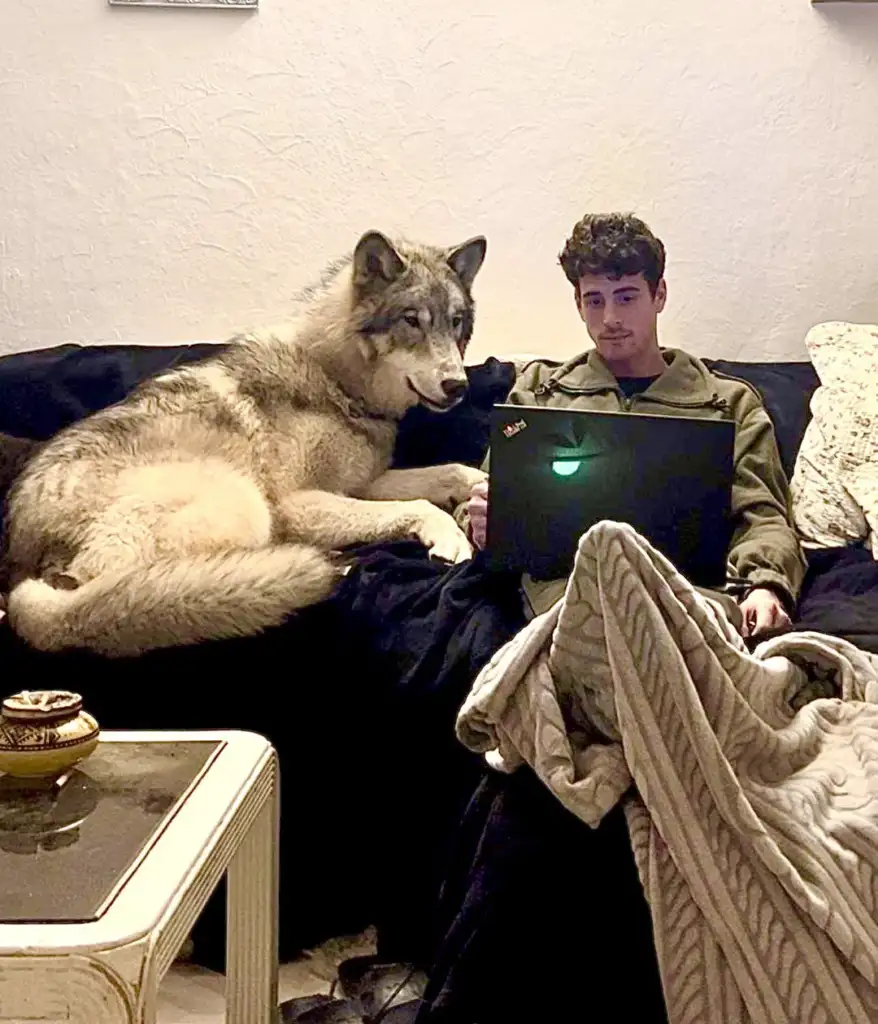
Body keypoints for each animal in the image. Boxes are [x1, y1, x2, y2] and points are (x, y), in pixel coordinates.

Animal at [3, 230, 489, 655]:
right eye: (412, 321)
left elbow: (453, 472)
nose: (459, 386)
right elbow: (420, 506)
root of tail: (21, 592)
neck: (336, 380)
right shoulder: (299, 502)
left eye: (456, 323)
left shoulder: (364, 484)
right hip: (246, 505)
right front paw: (450, 537)